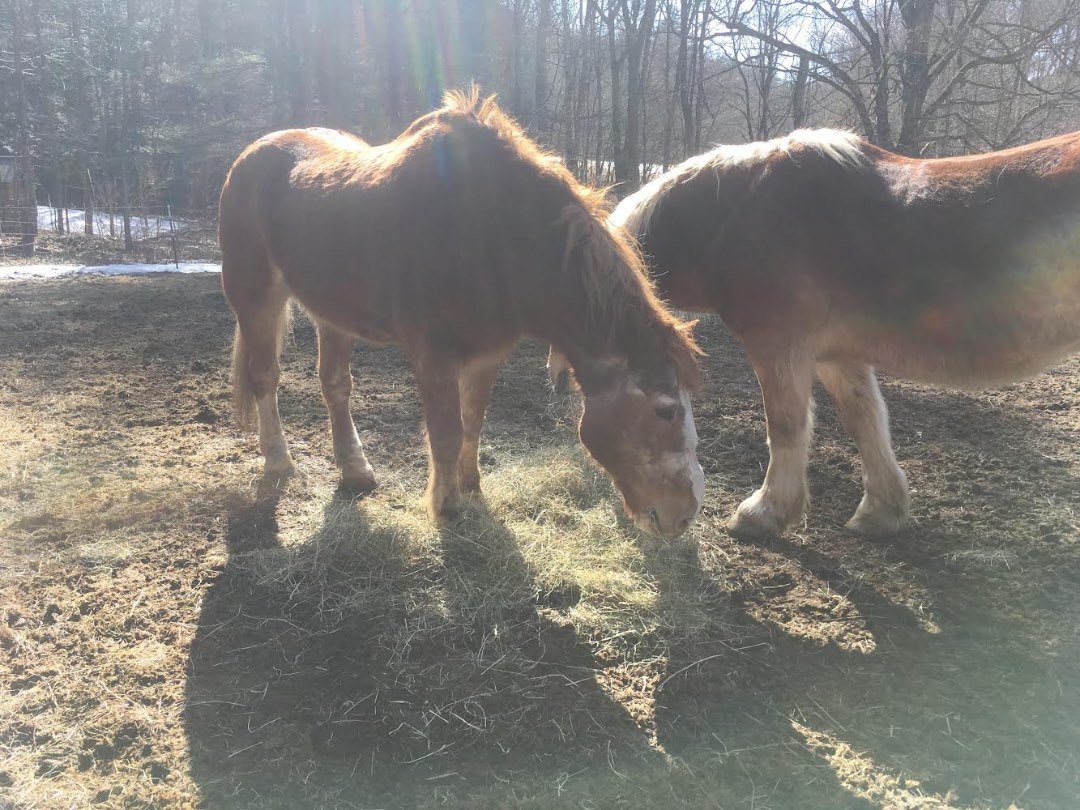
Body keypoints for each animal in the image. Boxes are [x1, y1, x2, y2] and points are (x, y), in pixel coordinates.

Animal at [218, 89, 703, 540]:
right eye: (665, 411)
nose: (683, 515)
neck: (493, 236)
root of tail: (250, 153)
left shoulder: (488, 354)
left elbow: (473, 420)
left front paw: (471, 486)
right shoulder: (433, 354)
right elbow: (447, 431)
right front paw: (446, 507)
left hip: (331, 312)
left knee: (335, 385)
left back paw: (355, 470)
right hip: (255, 296)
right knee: (264, 377)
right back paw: (279, 461)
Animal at [551, 128, 1080, 538]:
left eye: (665, 412)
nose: (667, 520)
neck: (738, 214)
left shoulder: (778, 346)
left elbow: (786, 426)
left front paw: (765, 514)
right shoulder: (836, 356)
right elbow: (866, 422)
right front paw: (881, 512)